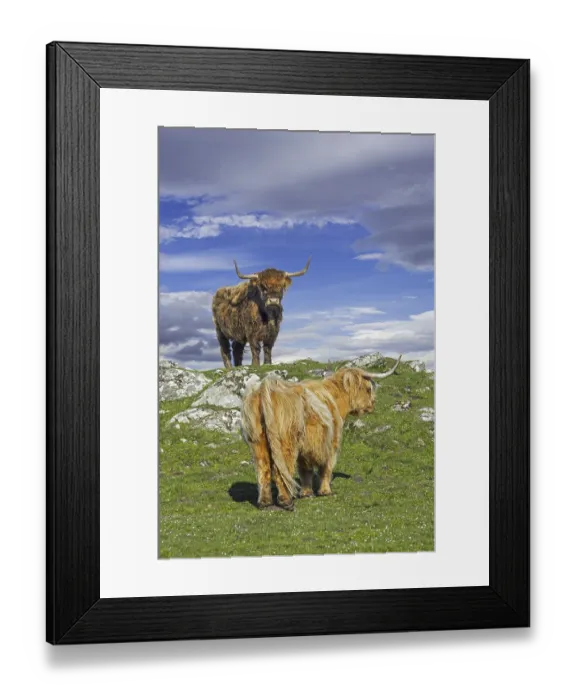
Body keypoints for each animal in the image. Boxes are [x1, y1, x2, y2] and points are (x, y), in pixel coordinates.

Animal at [240, 355, 402, 510]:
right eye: (368, 389)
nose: (372, 404)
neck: (335, 399)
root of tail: (265, 388)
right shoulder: (332, 441)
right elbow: (327, 467)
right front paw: (325, 491)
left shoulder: (305, 448)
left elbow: (305, 470)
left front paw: (307, 493)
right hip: (285, 441)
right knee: (280, 468)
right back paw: (286, 501)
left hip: (257, 441)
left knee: (263, 468)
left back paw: (265, 502)